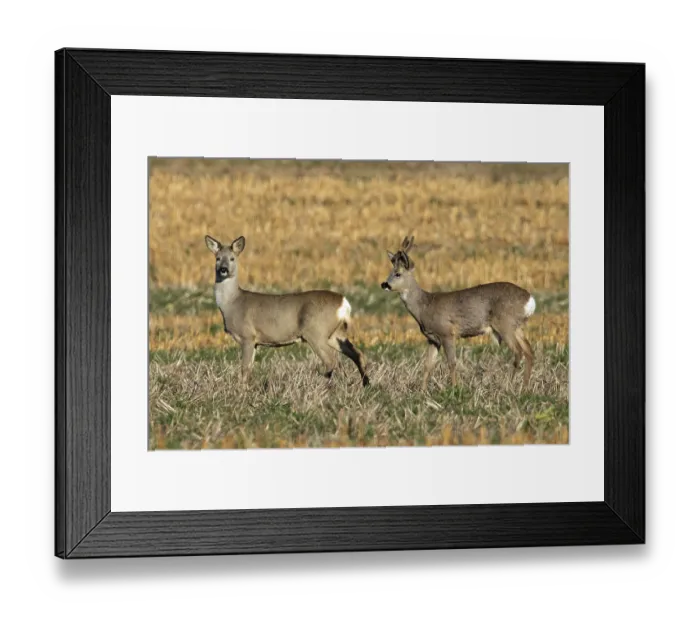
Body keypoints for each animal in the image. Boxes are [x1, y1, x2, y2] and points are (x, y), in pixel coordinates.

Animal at [205, 235, 370, 387]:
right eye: (218, 258)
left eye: (232, 258)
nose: (223, 269)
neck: (232, 303)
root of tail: (343, 302)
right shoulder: (255, 341)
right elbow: (249, 368)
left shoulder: (247, 336)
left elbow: (244, 369)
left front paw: (242, 390)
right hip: (334, 333)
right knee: (356, 354)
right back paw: (363, 384)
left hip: (316, 331)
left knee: (332, 360)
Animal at [381, 236, 536, 390]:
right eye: (389, 272)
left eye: (398, 274)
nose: (384, 284)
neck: (424, 306)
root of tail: (529, 300)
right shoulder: (432, 339)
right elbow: (428, 365)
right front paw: (422, 391)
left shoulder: (447, 332)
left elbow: (452, 363)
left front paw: (455, 388)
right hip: (516, 326)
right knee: (529, 351)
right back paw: (525, 388)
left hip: (505, 324)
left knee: (518, 352)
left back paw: (509, 386)